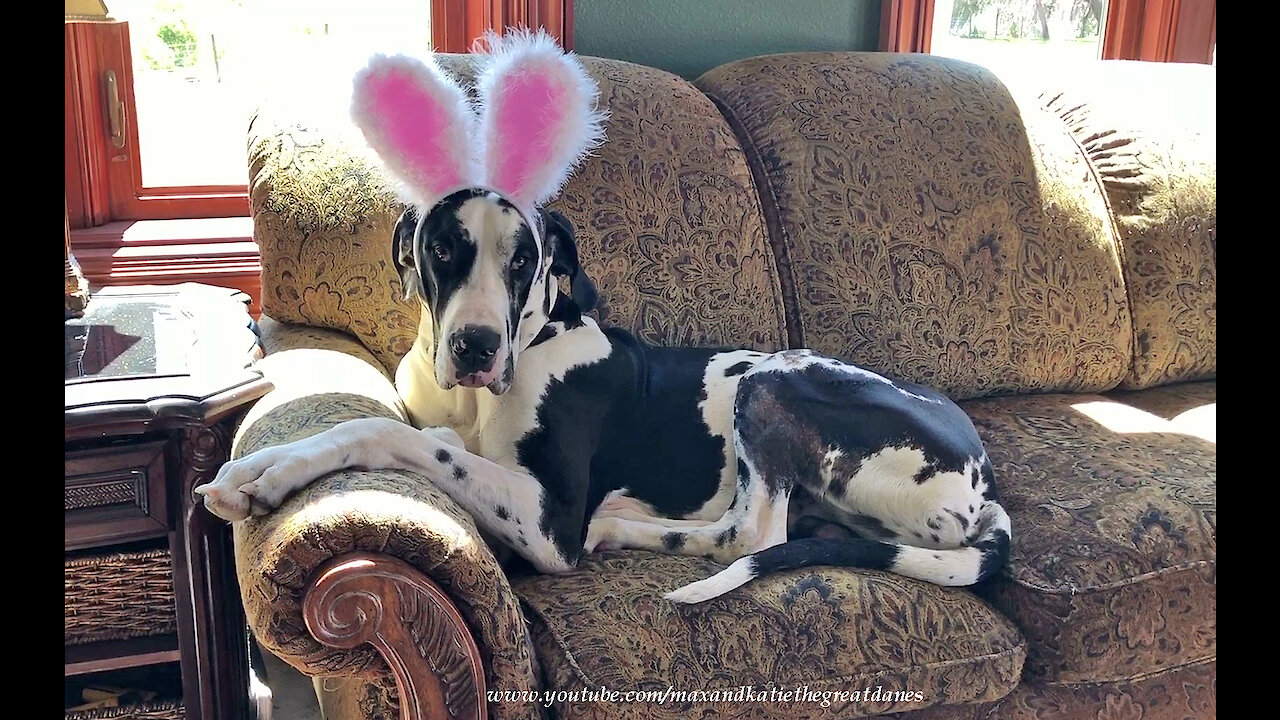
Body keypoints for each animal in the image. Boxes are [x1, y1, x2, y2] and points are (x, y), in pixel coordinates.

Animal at [192, 30, 1008, 599]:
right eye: (445, 247)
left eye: (525, 259)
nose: (476, 346)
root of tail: (985, 487)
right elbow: (371, 427)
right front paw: (259, 470)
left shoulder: (548, 517)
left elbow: (392, 435)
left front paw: (276, 473)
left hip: (771, 381)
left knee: (753, 531)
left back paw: (620, 525)